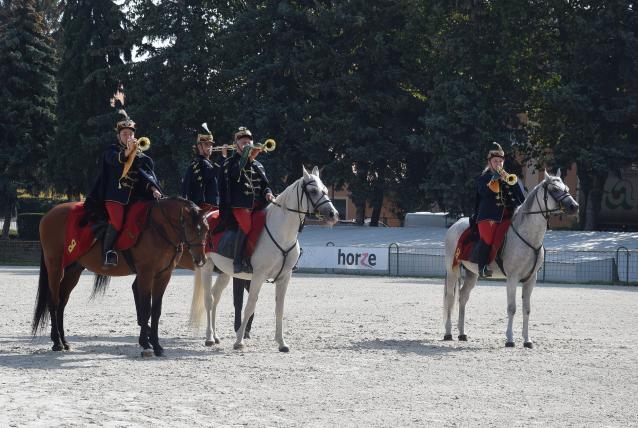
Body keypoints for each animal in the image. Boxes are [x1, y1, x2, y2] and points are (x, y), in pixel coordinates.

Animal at [32, 198, 209, 358]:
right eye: (192, 228)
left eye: (207, 229)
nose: (200, 259)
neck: (158, 228)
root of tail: (49, 214)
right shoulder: (146, 274)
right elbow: (145, 308)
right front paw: (146, 344)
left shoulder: (163, 275)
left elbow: (156, 310)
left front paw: (157, 345)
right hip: (55, 267)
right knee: (53, 301)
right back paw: (57, 342)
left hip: (73, 271)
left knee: (62, 302)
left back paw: (64, 341)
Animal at [189, 166, 340, 352]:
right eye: (313, 191)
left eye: (325, 189)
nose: (334, 214)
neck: (281, 233)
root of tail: (208, 215)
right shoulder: (258, 276)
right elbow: (250, 306)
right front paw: (239, 341)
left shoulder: (285, 277)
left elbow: (279, 308)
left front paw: (281, 342)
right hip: (207, 267)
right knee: (208, 300)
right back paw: (209, 337)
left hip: (225, 272)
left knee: (215, 297)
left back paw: (216, 336)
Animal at [444, 170, 580, 348]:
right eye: (555, 189)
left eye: (567, 188)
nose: (574, 206)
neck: (528, 236)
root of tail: (455, 225)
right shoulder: (512, 278)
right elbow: (512, 308)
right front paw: (509, 339)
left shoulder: (531, 279)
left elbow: (526, 309)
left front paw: (527, 340)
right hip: (452, 271)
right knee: (450, 297)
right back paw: (448, 333)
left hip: (472, 274)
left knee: (463, 297)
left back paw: (462, 333)